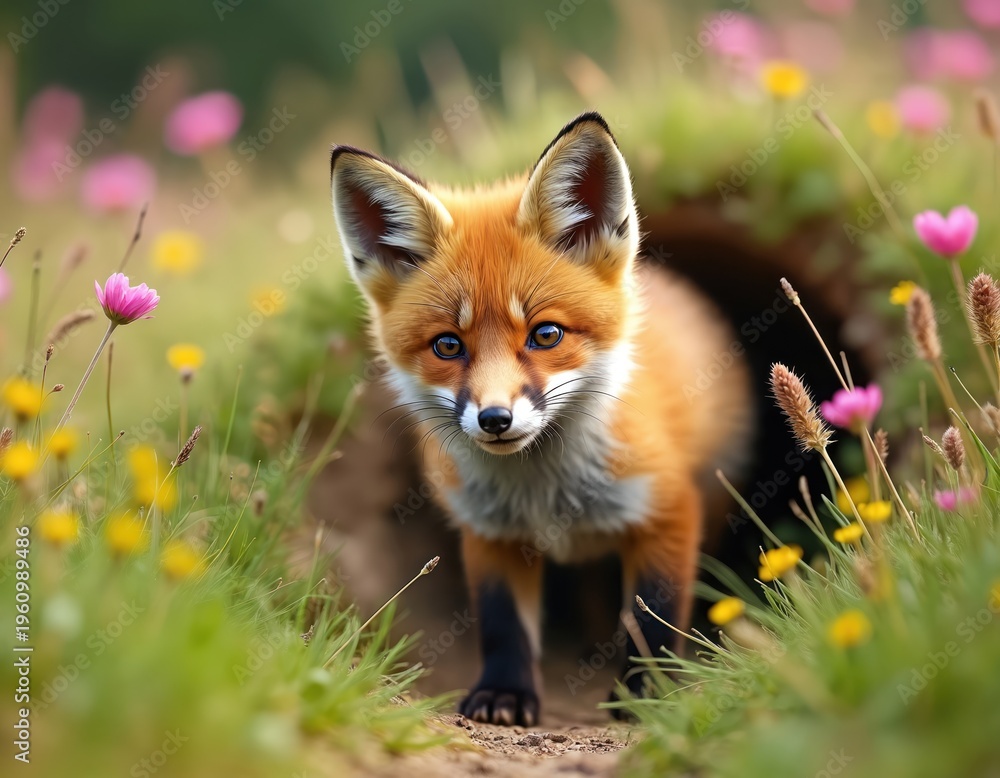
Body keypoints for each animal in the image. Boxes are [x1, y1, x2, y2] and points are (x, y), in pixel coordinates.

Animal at [330, 111, 754, 726]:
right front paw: (504, 694)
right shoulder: (489, 532)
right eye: (448, 346)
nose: (495, 418)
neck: (545, 493)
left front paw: (646, 695)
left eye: (546, 334)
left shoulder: (666, 509)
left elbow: (652, 617)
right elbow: (503, 625)